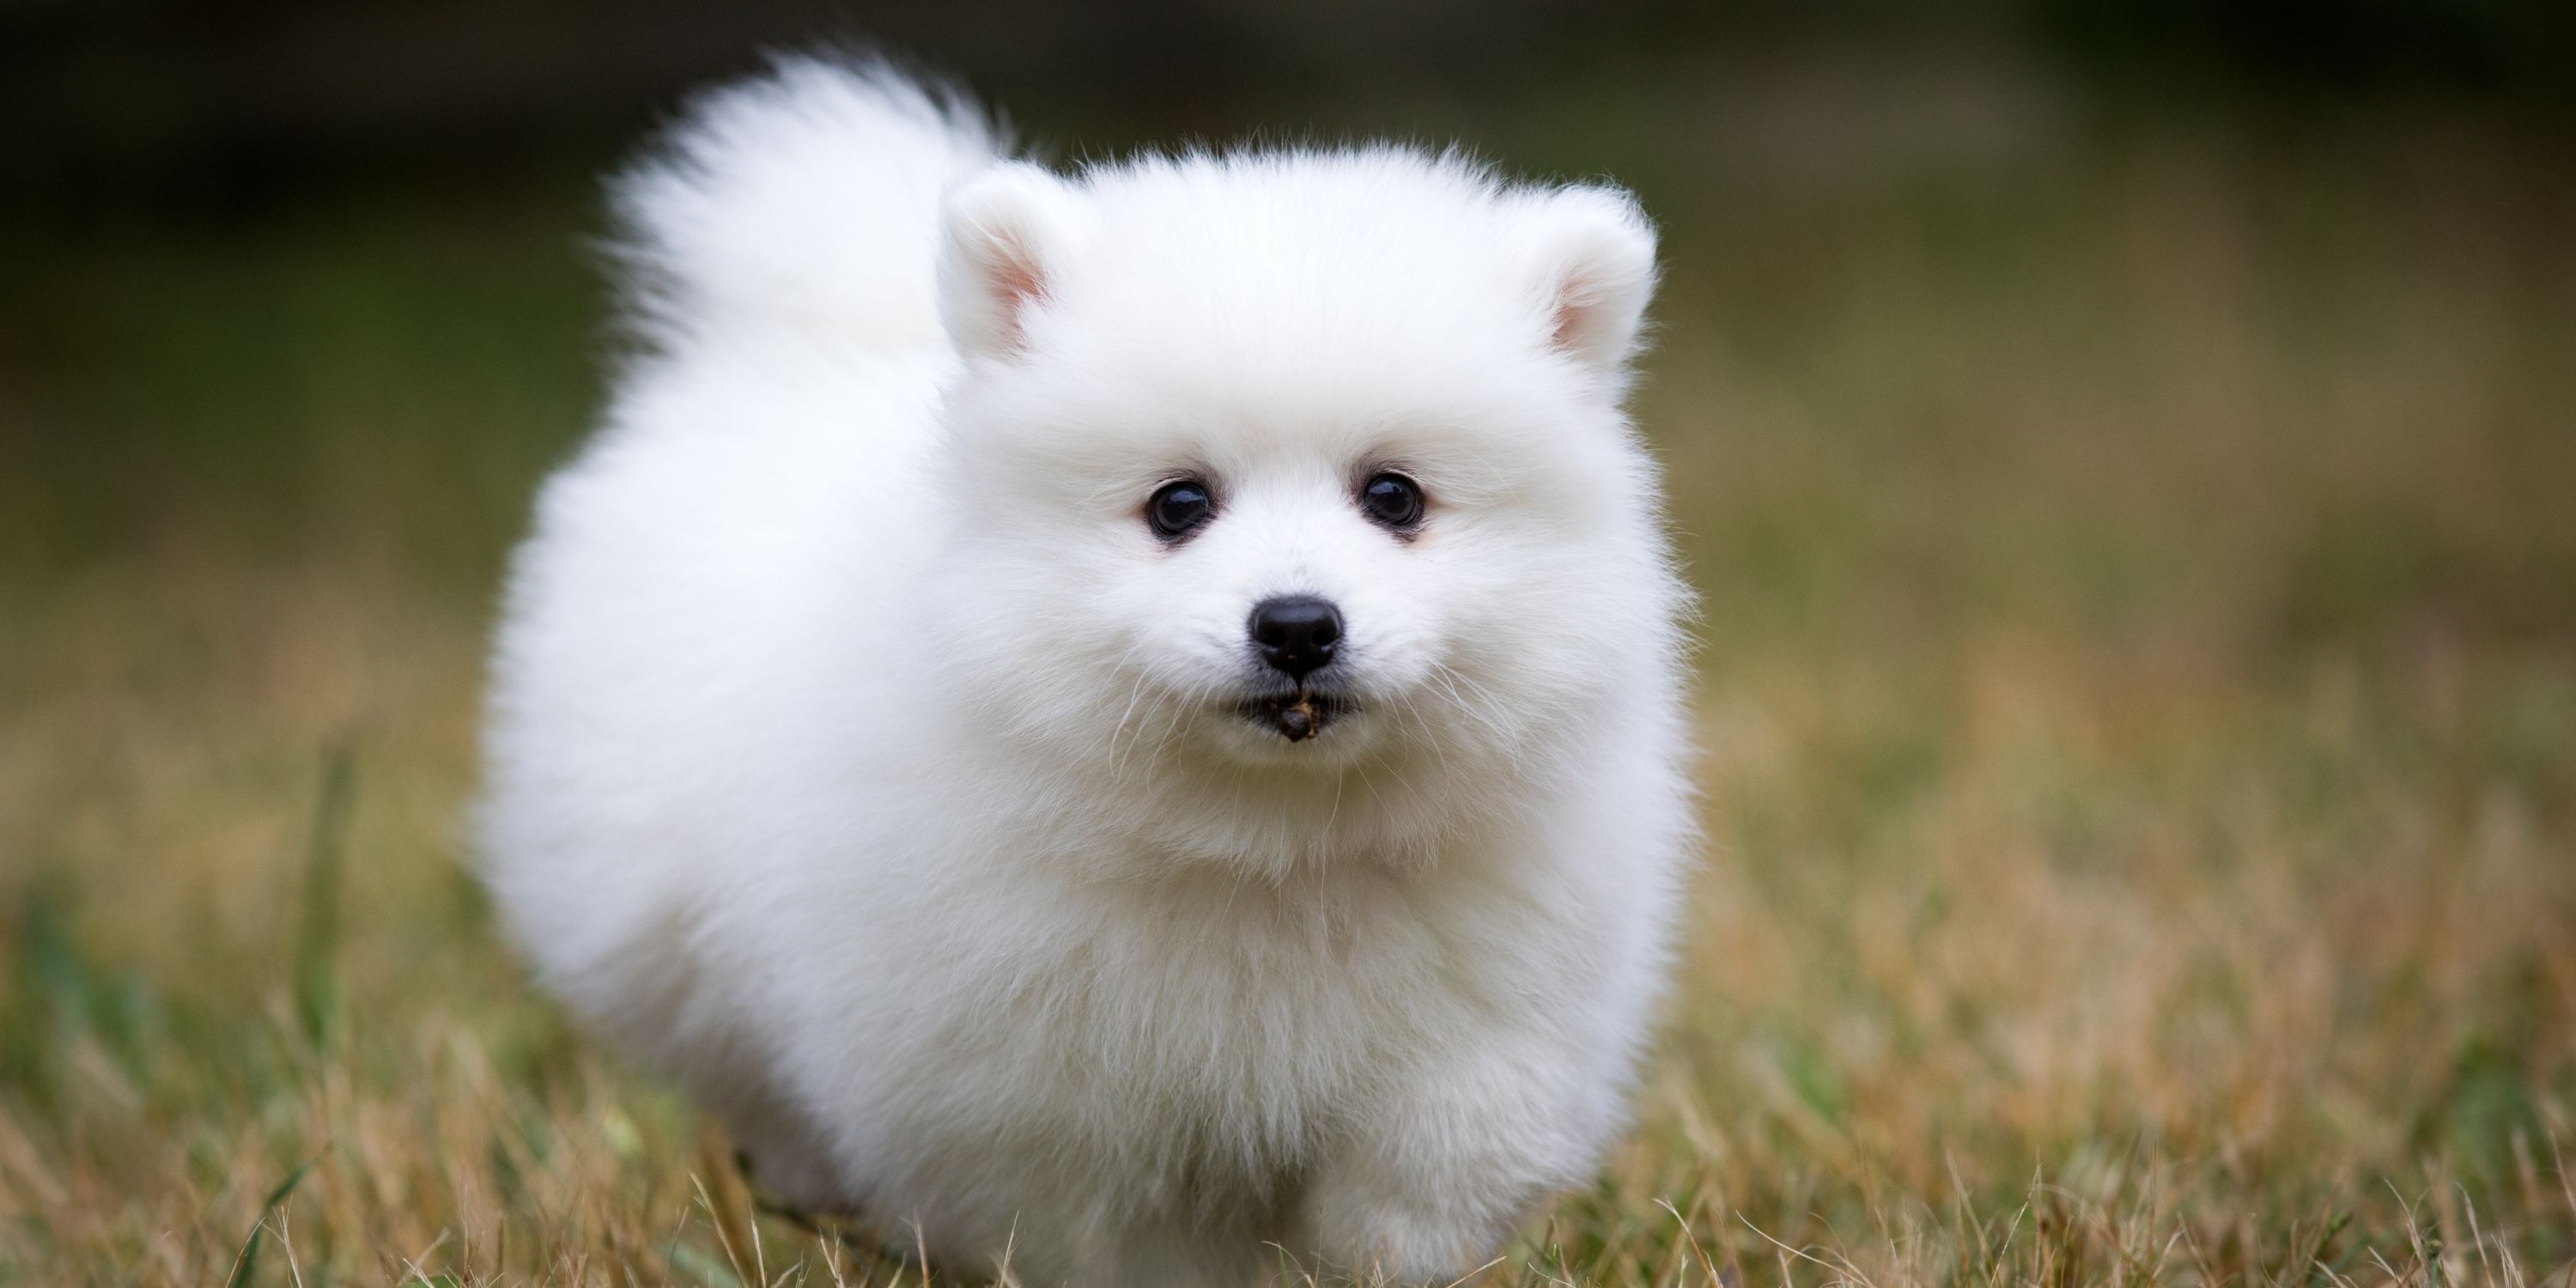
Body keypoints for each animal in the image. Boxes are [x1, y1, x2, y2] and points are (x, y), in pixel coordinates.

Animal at [479, 55, 1690, 1283]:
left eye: (1394, 497)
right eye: (1179, 505)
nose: (1298, 625)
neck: (1270, 850)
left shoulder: (1492, 1021)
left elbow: (1428, 1171)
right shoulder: (1034, 1095)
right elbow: (1110, 1234)